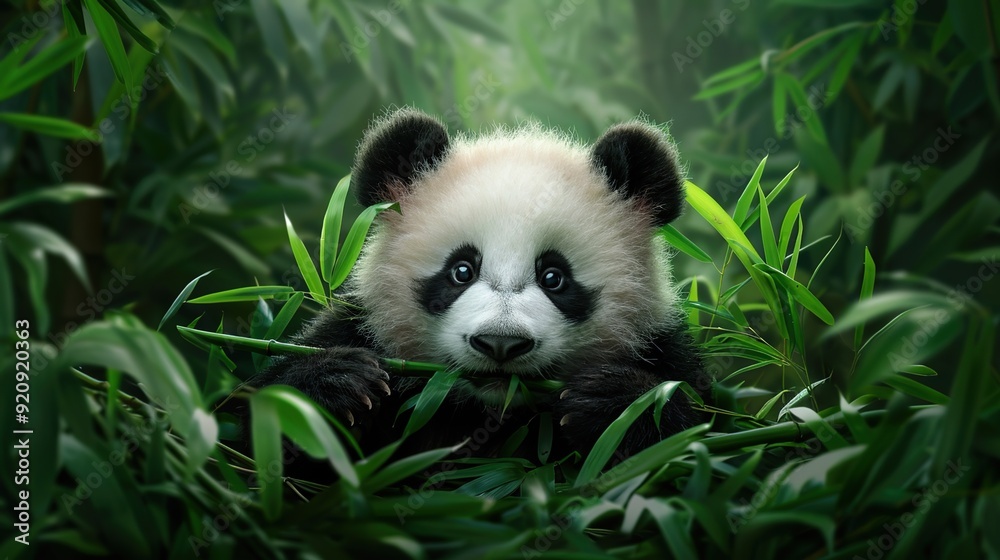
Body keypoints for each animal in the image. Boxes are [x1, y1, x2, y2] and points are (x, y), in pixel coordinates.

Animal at [252, 107, 708, 459]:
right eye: (461, 270)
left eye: (554, 277)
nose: (501, 343)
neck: (490, 410)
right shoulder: (359, 328)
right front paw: (336, 384)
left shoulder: (665, 351)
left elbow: (693, 436)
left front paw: (615, 403)